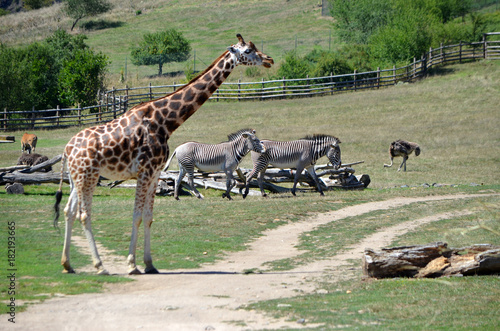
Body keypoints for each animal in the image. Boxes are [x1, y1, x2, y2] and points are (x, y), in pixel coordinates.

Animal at [54, 35, 274, 276]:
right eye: (247, 50)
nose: (269, 59)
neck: (166, 122)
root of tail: (66, 149)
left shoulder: (154, 173)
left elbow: (148, 217)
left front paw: (149, 264)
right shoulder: (145, 171)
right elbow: (136, 216)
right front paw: (132, 265)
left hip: (76, 179)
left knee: (68, 211)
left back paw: (67, 264)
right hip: (89, 176)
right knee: (84, 215)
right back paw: (100, 266)